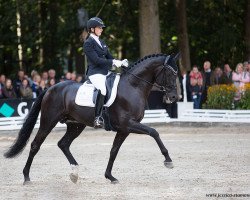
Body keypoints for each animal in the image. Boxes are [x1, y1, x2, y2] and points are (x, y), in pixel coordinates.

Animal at [4, 52, 180, 183]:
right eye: (171, 73)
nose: (174, 97)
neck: (133, 86)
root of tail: (50, 88)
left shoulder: (124, 129)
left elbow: (113, 151)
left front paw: (110, 176)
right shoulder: (128, 124)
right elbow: (154, 132)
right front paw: (168, 160)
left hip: (76, 125)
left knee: (63, 144)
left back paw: (75, 173)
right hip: (48, 122)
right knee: (35, 145)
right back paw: (26, 177)